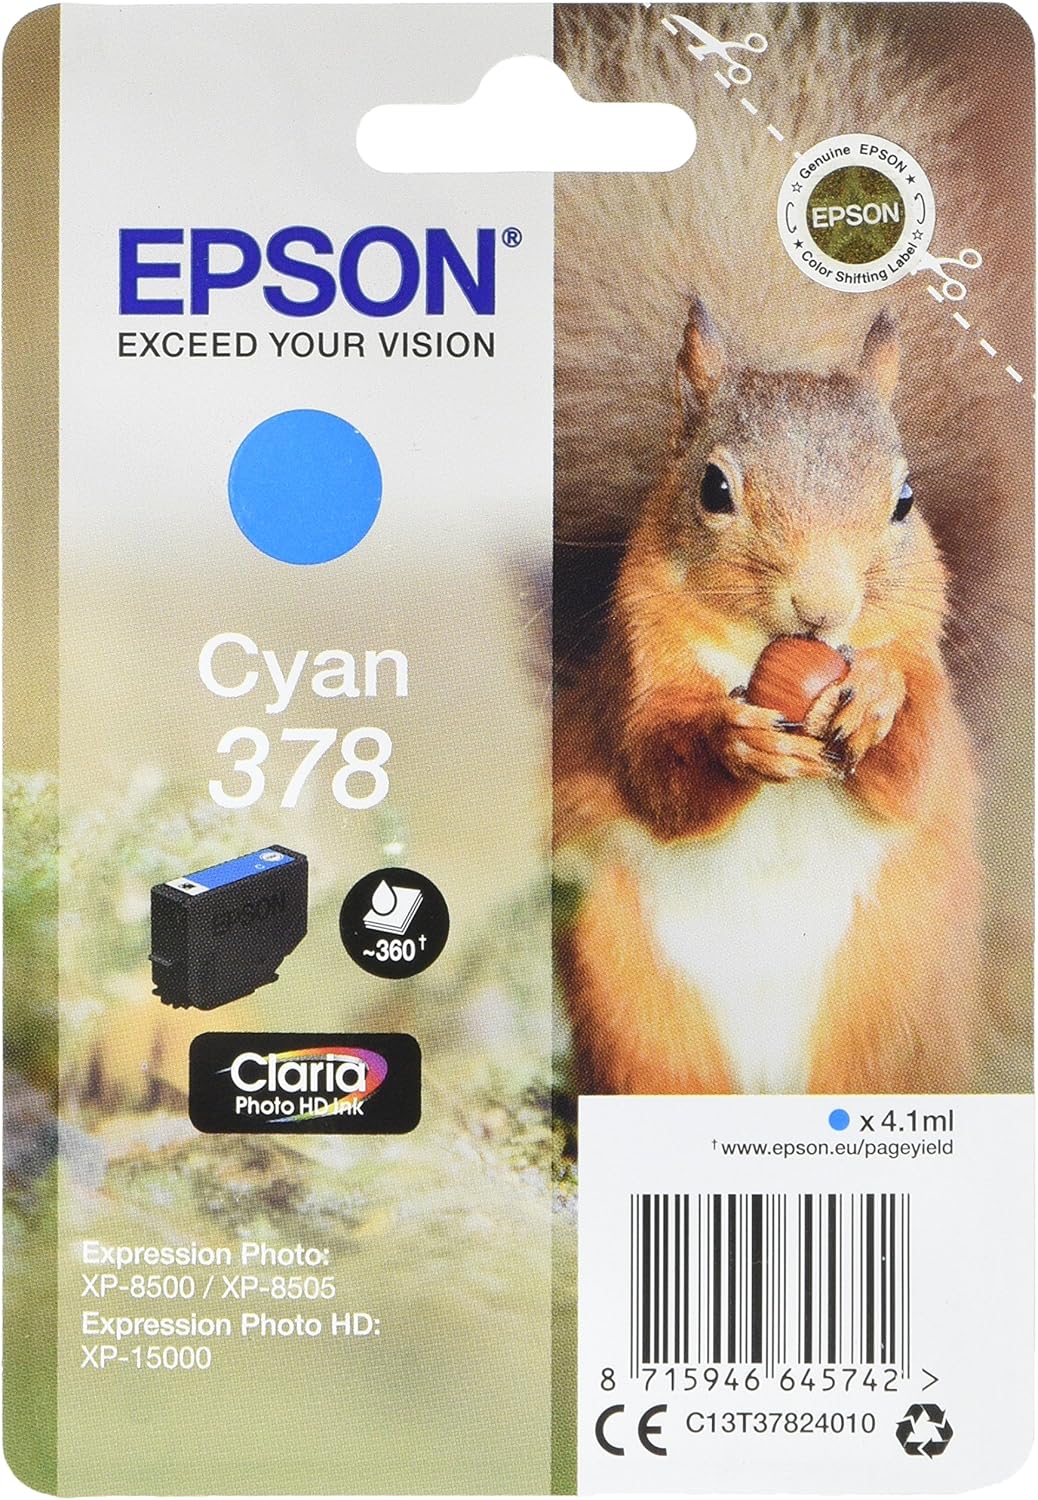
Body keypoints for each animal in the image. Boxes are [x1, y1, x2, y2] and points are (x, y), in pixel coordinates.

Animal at [550, 2, 1032, 1094]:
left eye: (905, 501)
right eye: (713, 489)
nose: (824, 609)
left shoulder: (930, 682)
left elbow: (918, 761)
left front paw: (878, 698)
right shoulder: (633, 676)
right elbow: (654, 768)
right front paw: (735, 740)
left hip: (892, 1001)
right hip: (635, 1000)